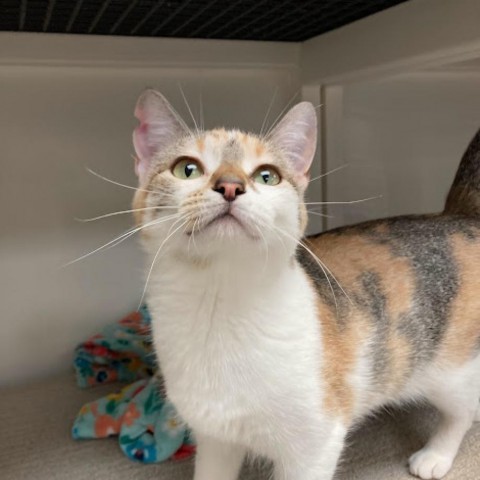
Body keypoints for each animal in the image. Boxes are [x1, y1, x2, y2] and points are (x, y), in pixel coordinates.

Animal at [129, 88, 480, 478]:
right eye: (186, 169)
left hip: (453, 372)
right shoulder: (215, 440)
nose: (231, 186)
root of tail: (460, 216)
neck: (216, 308)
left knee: (462, 411)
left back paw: (436, 454)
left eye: (267, 176)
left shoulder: (314, 446)